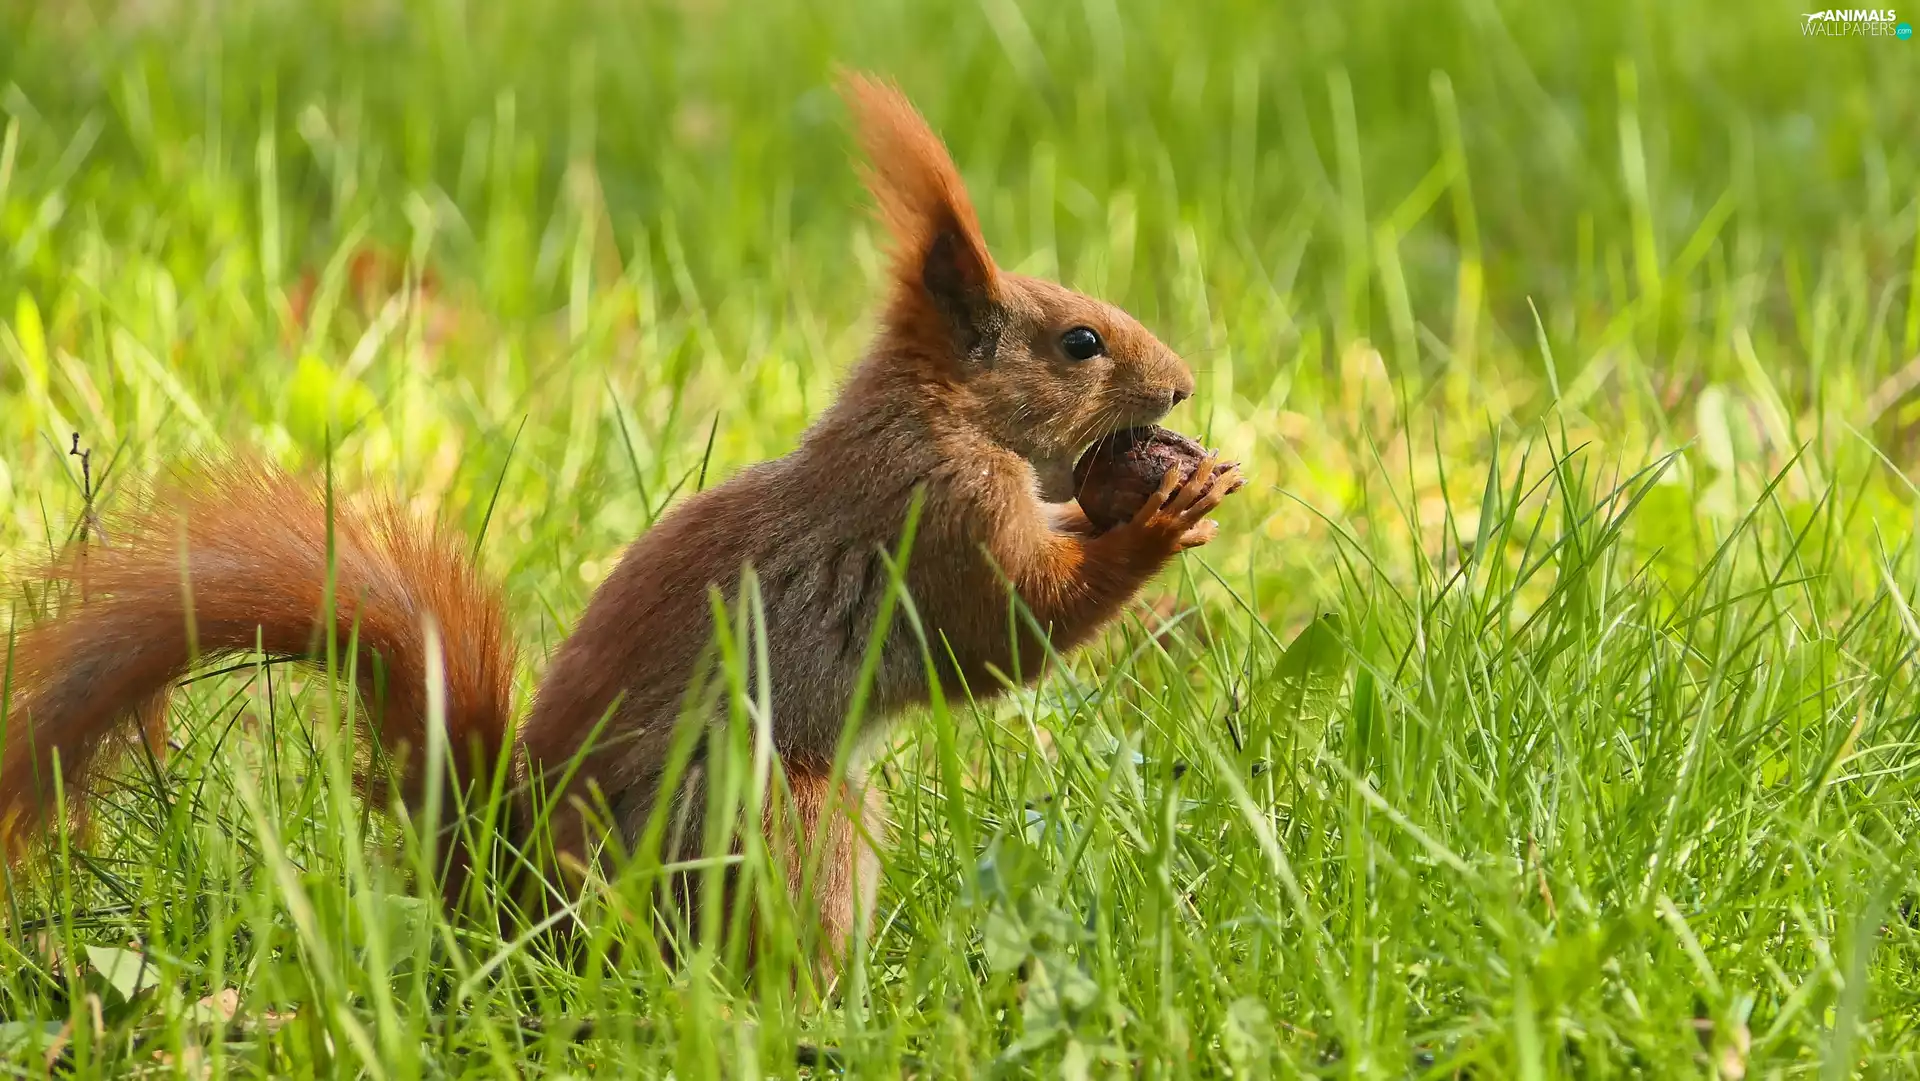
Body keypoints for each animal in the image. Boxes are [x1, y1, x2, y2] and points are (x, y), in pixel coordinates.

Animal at [0, 73, 1244, 964]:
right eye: (1079, 343)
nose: (1182, 388)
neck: (936, 412)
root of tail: (512, 899)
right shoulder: (935, 515)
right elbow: (1006, 629)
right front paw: (1160, 518)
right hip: (777, 817)